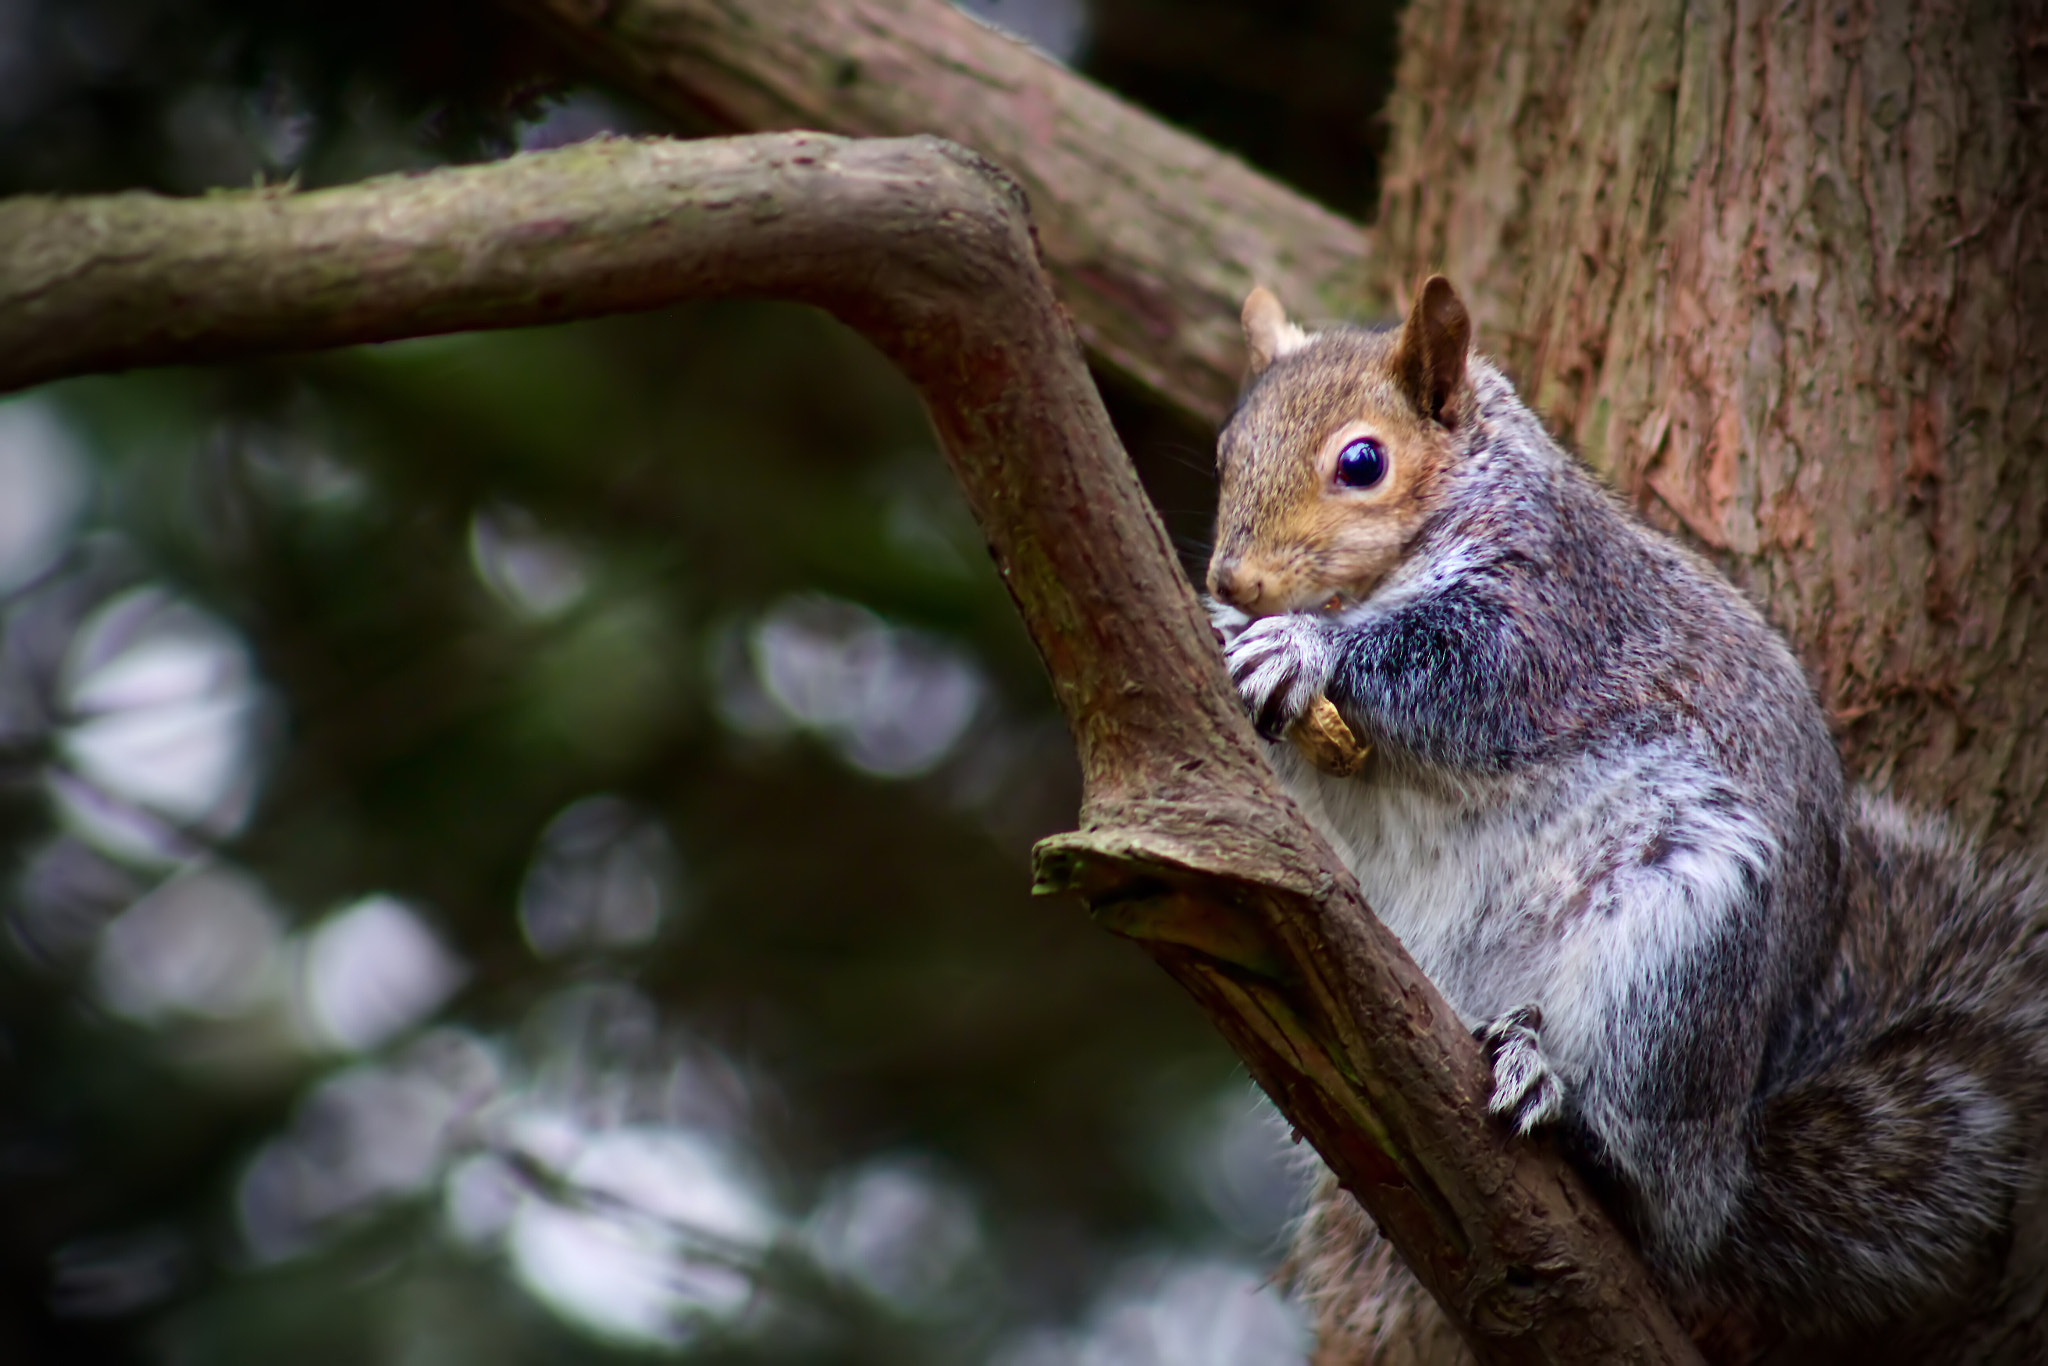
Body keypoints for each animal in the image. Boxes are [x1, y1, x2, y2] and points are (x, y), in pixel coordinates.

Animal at [1204, 278, 2048, 1366]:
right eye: (1225, 450)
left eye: (1362, 462)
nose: (1232, 581)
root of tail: (1724, 1163)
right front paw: (1223, 636)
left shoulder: (1551, 610)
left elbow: (1454, 671)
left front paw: (1303, 647)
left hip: (1672, 950)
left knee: (1645, 1181)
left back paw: (1561, 1104)